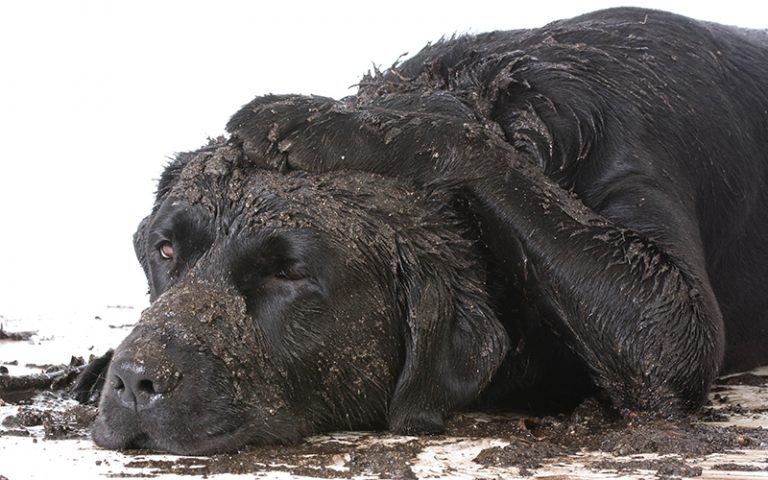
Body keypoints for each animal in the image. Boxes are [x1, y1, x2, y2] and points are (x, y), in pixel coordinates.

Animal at [76, 9, 768, 456]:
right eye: (166, 250)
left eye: (289, 272)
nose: (134, 381)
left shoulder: (671, 324)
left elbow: (453, 134)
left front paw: (337, 121)